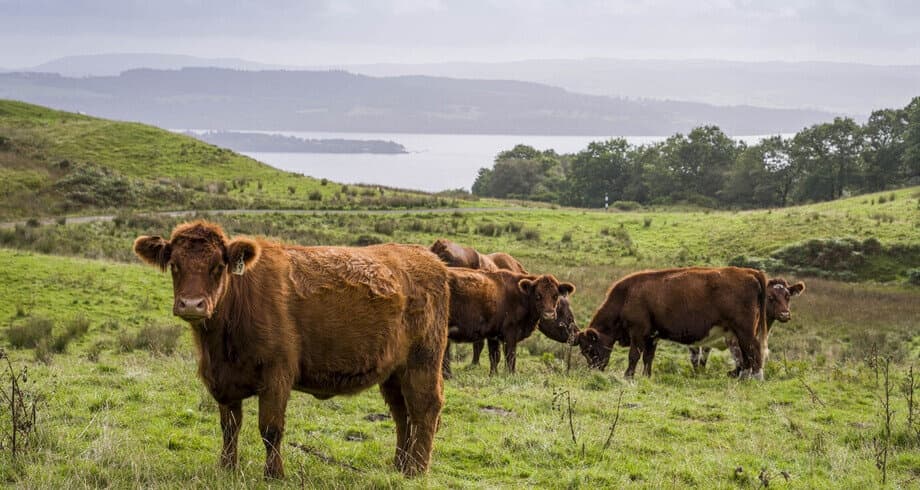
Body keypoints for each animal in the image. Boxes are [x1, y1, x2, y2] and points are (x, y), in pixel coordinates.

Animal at [133, 221, 449, 479]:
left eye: (217, 267)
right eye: (175, 265)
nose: (192, 304)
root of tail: (428, 258)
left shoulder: (277, 374)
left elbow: (271, 428)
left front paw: (274, 474)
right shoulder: (224, 381)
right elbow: (229, 427)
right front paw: (227, 468)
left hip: (422, 361)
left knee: (424, 408)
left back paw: (416, 470)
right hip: (394, 371)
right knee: (402, 413)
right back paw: (400, 465)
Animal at [441, 268, 575, 377]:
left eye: (555, 295)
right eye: (538, 295)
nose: (549, 314)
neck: (521, 297)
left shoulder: (493, 335)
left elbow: (494, 357)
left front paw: (493, 375)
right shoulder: (510, 334)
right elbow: (510, 357)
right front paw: (511, 375)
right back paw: (448, 376)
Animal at [575, 267, 769, 380]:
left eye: (589, 348)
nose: (593, 370)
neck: (627, 295)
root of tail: (750, 272)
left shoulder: (638, 332)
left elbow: (634, 355)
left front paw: (628, 376)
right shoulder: (652, 336)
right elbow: (648, 357)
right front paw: (646, 376)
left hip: (745, 332)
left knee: (754, 351)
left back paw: (755, 378)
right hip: (739, 333)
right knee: (747, 355)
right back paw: (743, 378)